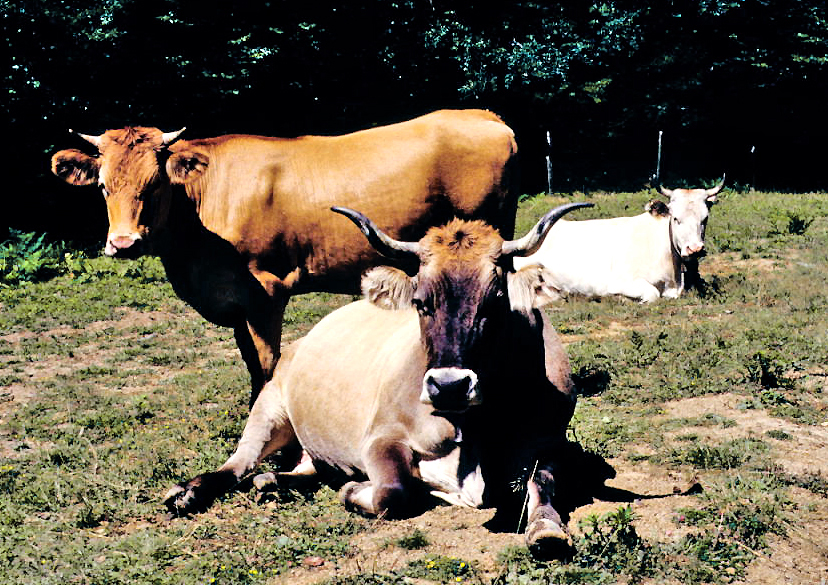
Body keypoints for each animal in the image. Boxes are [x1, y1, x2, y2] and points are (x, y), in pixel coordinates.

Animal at [167, 203, 596, 560]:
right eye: (420, 302)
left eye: (495, 302)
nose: (449, 386)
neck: (473, 429)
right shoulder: (380, 437)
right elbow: (394, 491)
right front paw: (355, 491)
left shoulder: (549, 441)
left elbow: (542, 481)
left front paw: (547, 529)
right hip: (269, 407)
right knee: (237, 464)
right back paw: (186, 493)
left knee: (301, 470)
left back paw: (272, 481)